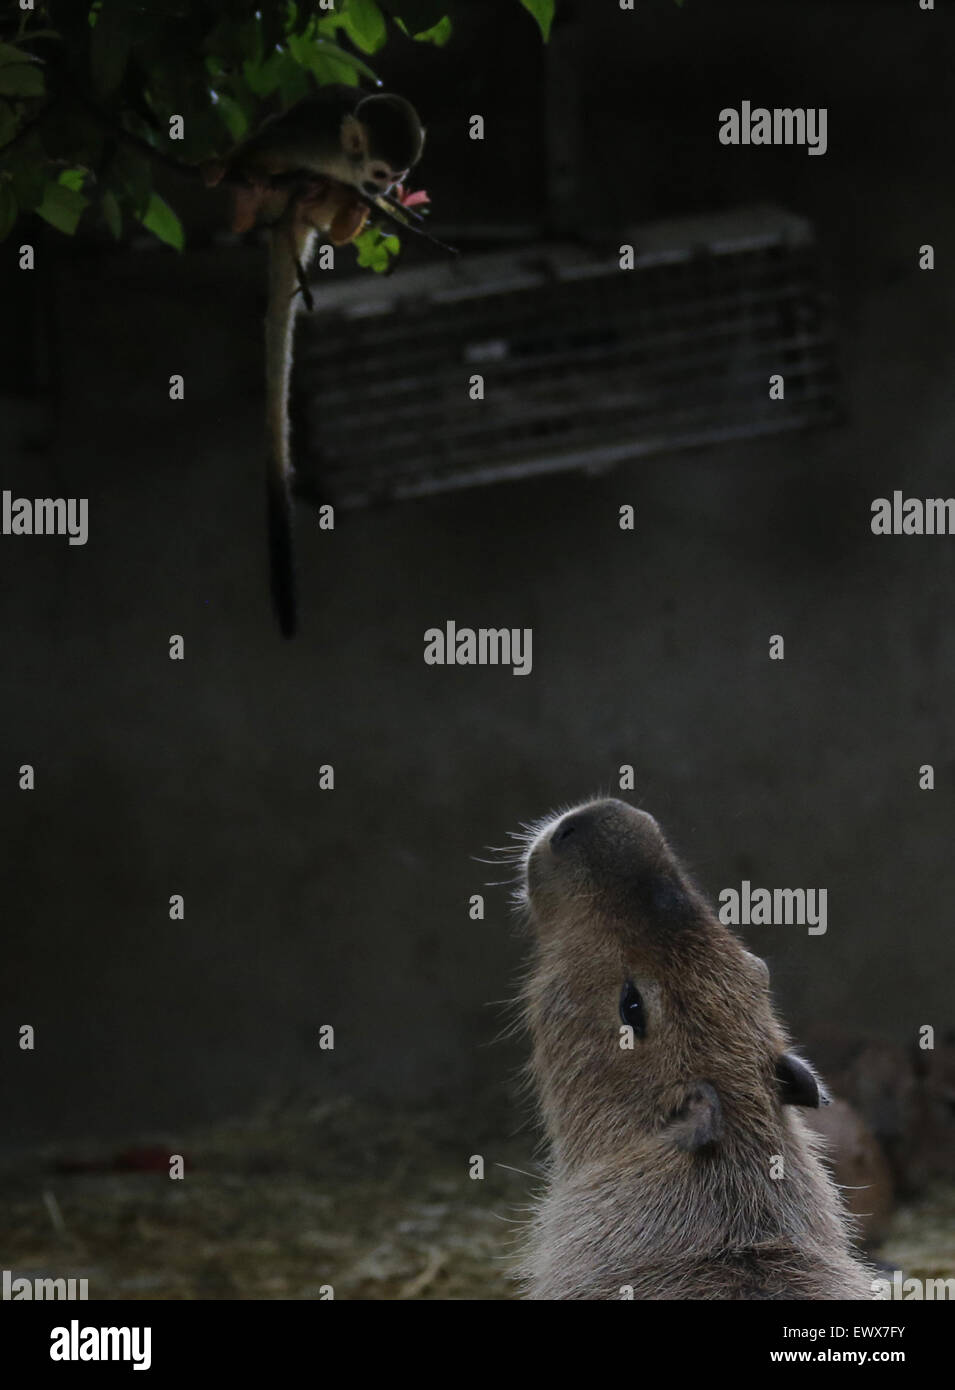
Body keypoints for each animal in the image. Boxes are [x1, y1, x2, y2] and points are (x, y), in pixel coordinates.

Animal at [207, 85, 426, 637]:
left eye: (395, 176)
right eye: (381, 171)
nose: (382, 187)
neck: (343, 159)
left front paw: (363, 209)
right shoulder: (310, 134)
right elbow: (265, 138)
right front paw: (223, 166)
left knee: (325, 200)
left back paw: (343, 215)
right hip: (279, 189)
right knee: (268, 180)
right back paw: (246, 207)